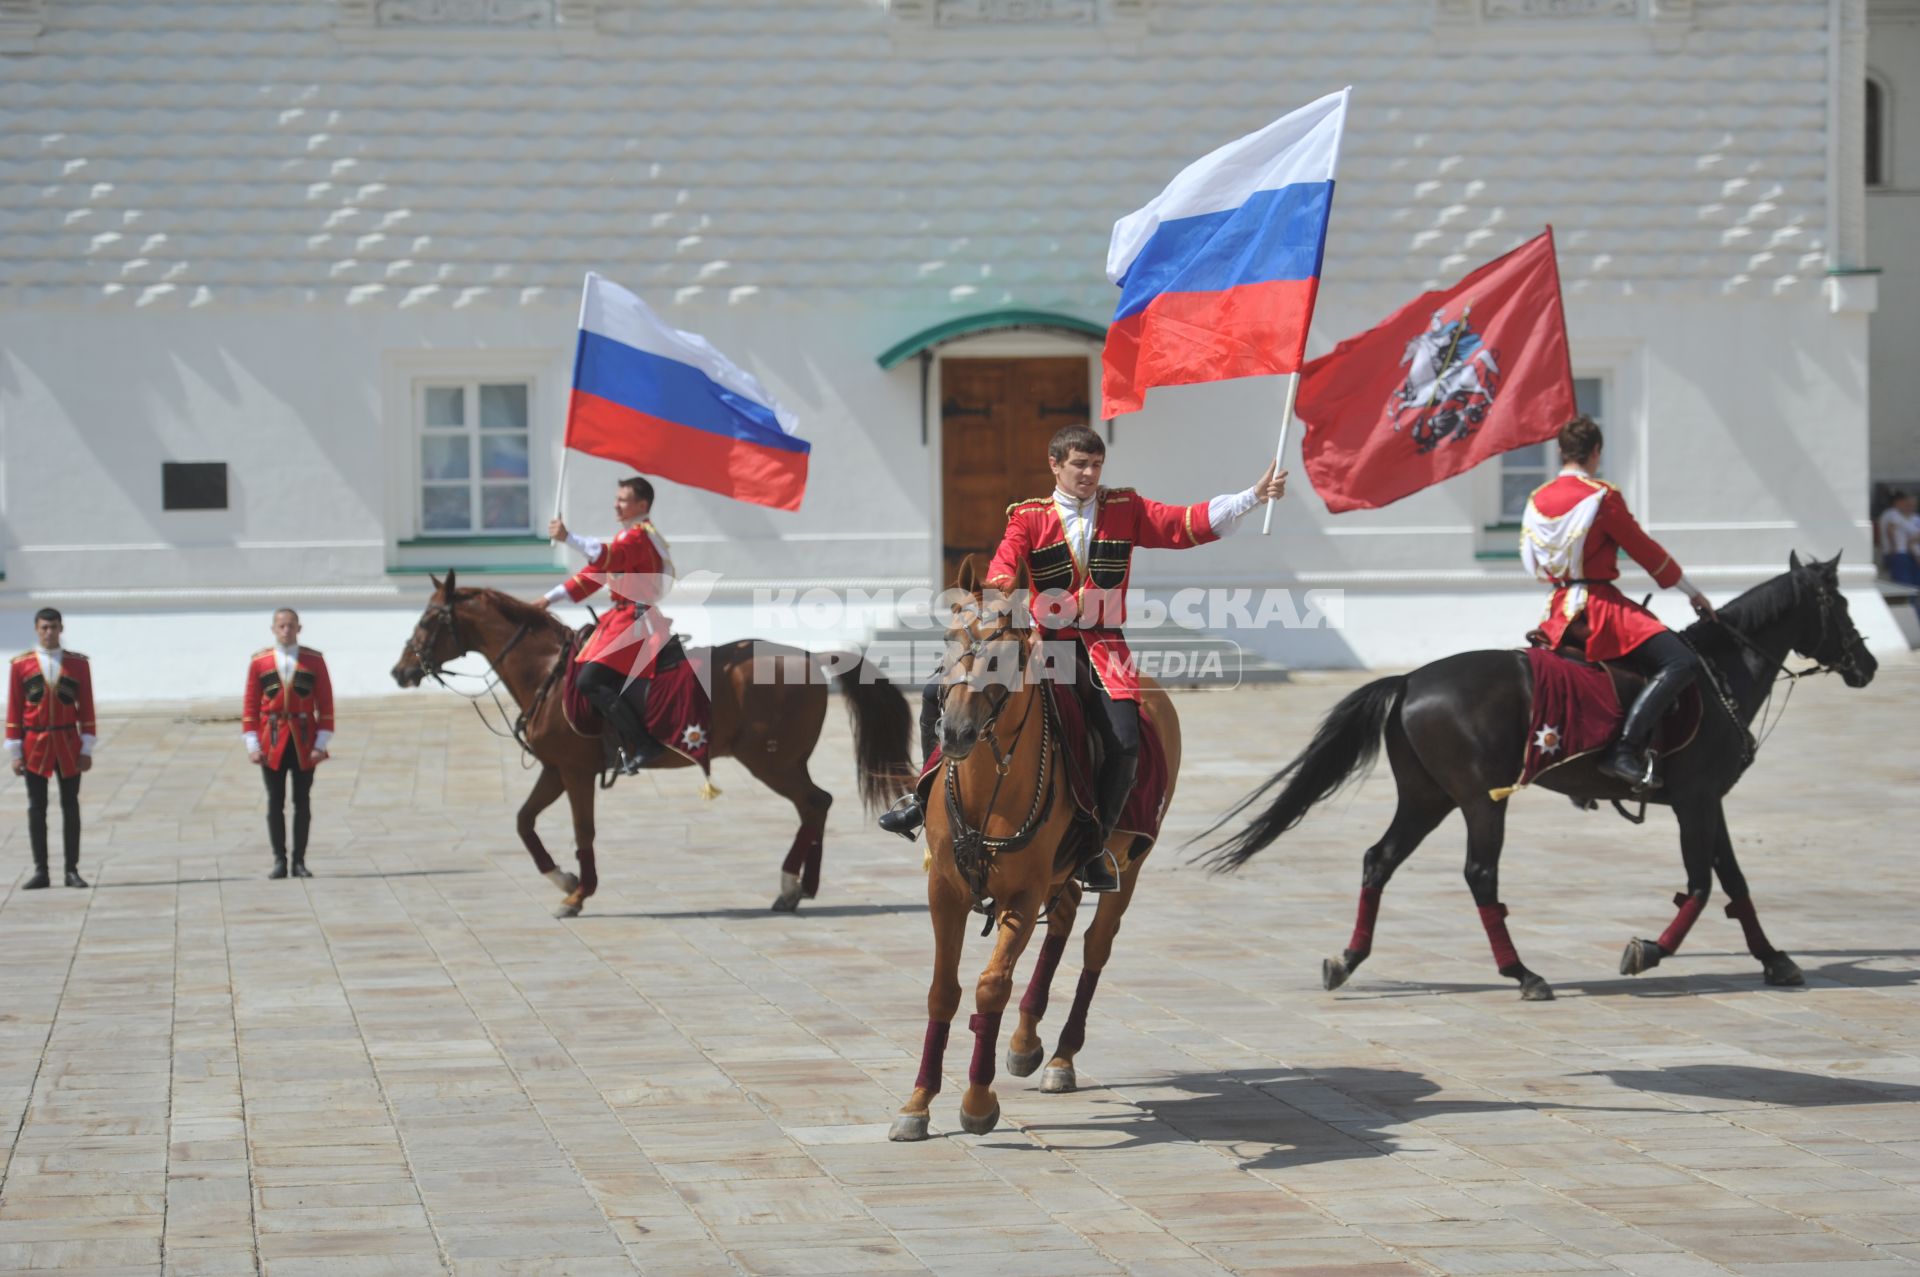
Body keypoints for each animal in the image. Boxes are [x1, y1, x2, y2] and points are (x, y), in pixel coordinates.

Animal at [389, 568, 913, 917]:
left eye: (430, 619)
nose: (400, 671)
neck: (548, 672)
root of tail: (810, 656)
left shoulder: (576, 772)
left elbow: (583, 831)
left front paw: (579, 892)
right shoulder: (555, 770)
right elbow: (524, 823)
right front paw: (564, 879)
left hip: (773, 763)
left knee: (813, 804)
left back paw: (791, 885)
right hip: (782, 762)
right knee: (815, 807)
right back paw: (799, 888)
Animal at [887, 564, 1182, 1136]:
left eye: (1005, 657)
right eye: (949, 640)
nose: (955, 732)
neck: (988, 783)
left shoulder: (1021, 896)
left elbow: (991, 986)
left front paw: (978, 1102)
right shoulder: (944, 890)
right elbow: (942, 990)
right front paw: (917, 1103)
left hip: (1130, 861)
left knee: (1095, 944)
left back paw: (1062, 1056)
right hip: (1060, 873)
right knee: (1063, 921)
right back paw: (1026, 1042)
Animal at [1198, 553, 1873, 998]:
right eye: (1839, 605)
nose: (1865, 665)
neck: (1715, 671)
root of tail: (1411, 680)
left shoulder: (1709, 802)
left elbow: (1734, 882)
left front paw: (1774, 959)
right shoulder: (1697, 801)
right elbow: (1703, 885)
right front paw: (1648, 951)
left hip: (1427, 798)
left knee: (1378, 861)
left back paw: (1349, 958)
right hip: (1480, 801)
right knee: (1479, 876)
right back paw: (1522, 973)